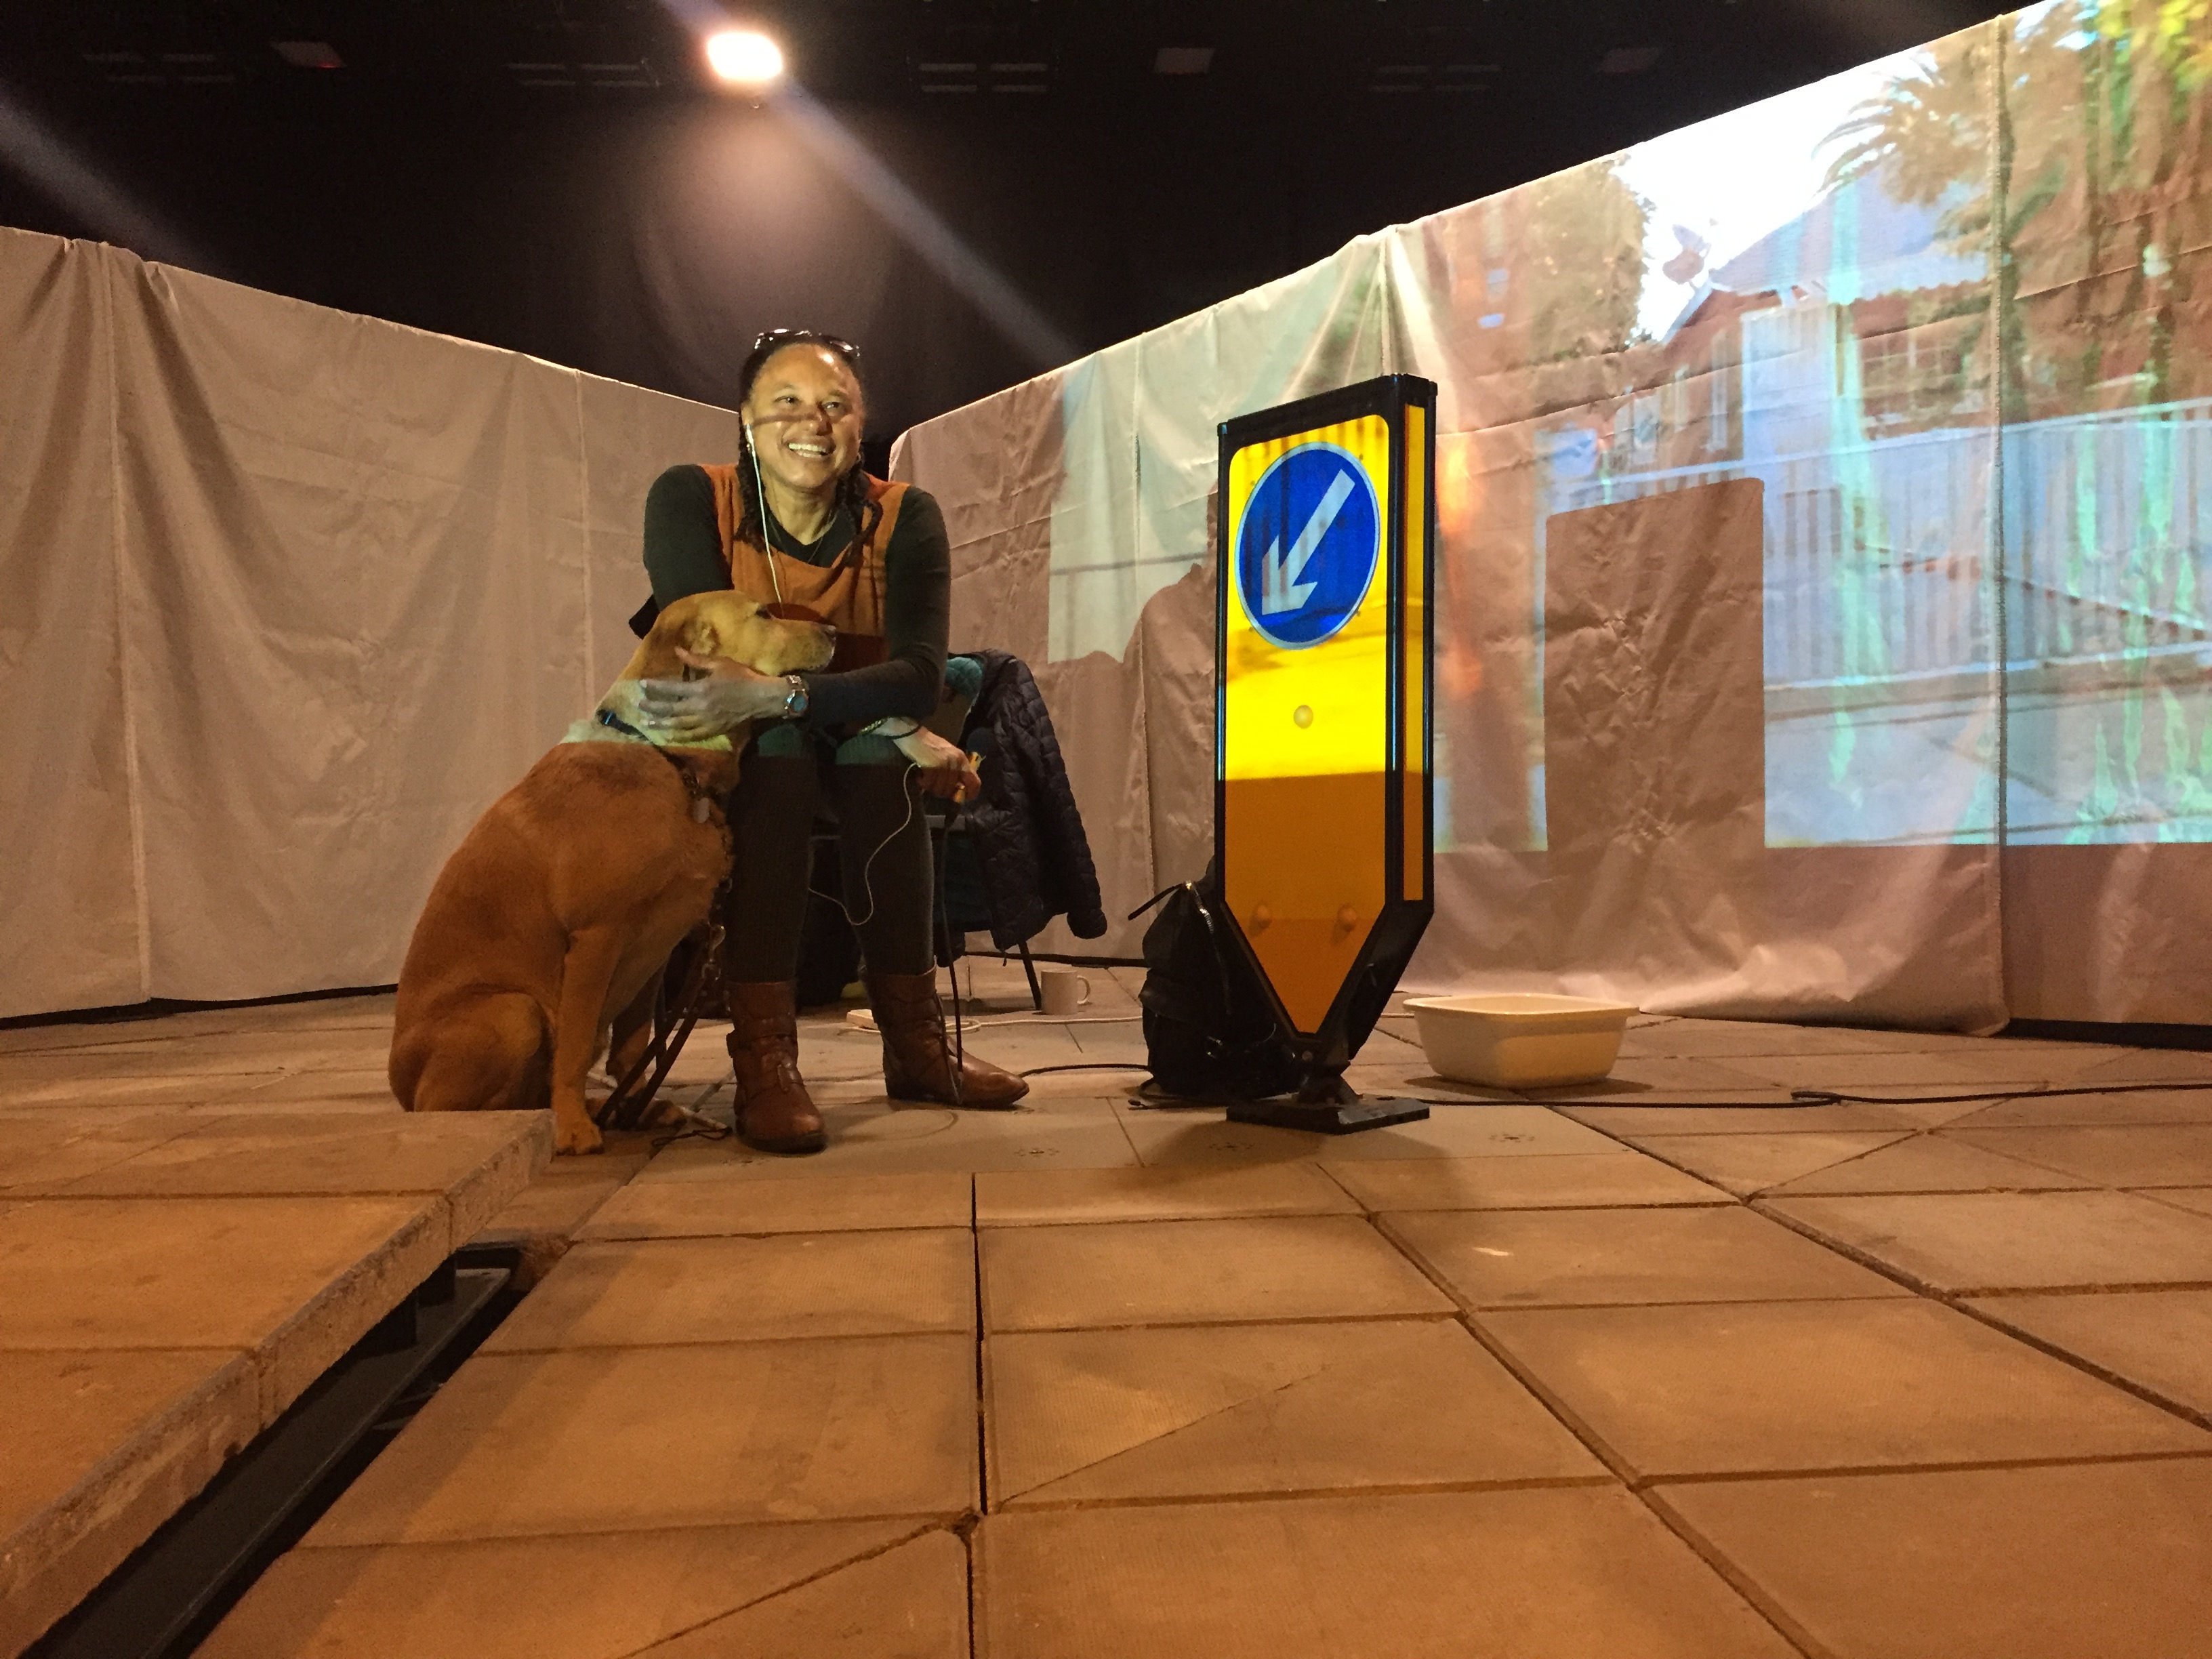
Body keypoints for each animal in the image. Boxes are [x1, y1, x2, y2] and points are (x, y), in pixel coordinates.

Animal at [384, 597, 832, 1159]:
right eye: (763, 614)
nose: (834, 630)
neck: (669, 760)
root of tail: (401, 1088)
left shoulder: (656, 948)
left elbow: (634, 1048)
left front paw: (636, 1107)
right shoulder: (597, 938)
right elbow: (576, 1049)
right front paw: (574, 1126)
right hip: (514, 1012)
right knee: (461, 1111)